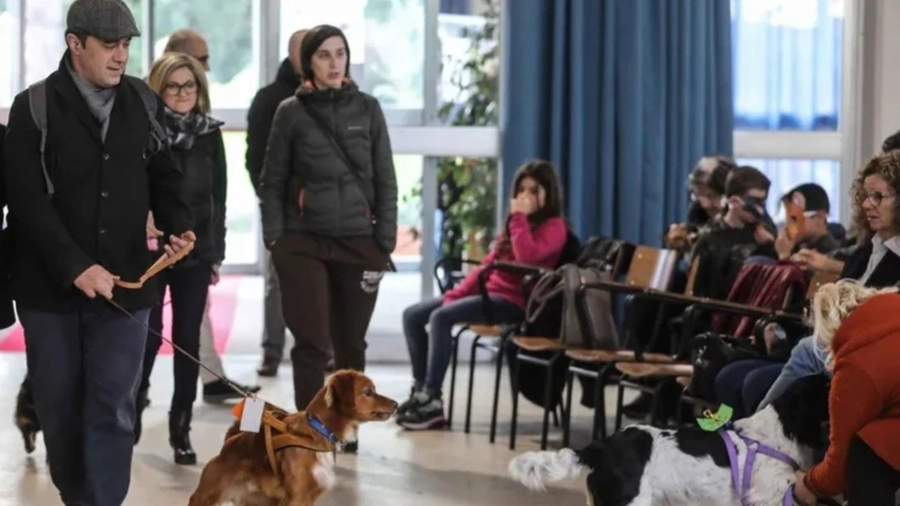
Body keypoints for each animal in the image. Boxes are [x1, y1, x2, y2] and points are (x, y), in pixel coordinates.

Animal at [188, 368, 396, 506]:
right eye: (369, 392)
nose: (395, 404)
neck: (317, 431)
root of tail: (230, 443)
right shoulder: (297, 497)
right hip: (206, 496)